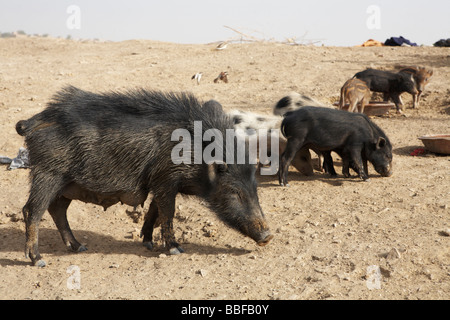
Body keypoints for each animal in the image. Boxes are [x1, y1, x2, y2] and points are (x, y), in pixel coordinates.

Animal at [15, 86, 272, 266]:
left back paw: (79, 247)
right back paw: (38, 260)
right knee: (32, 211)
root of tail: (32, 122)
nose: (268, 236)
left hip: (65, 185)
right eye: (234, 191)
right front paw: (176, 249)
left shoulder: (160, 182)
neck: (195, 154)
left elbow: (153, 212)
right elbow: (167, 213)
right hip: (48, 174)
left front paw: (148, 243)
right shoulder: (166, 180)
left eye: (255, 187)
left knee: (57, 209)